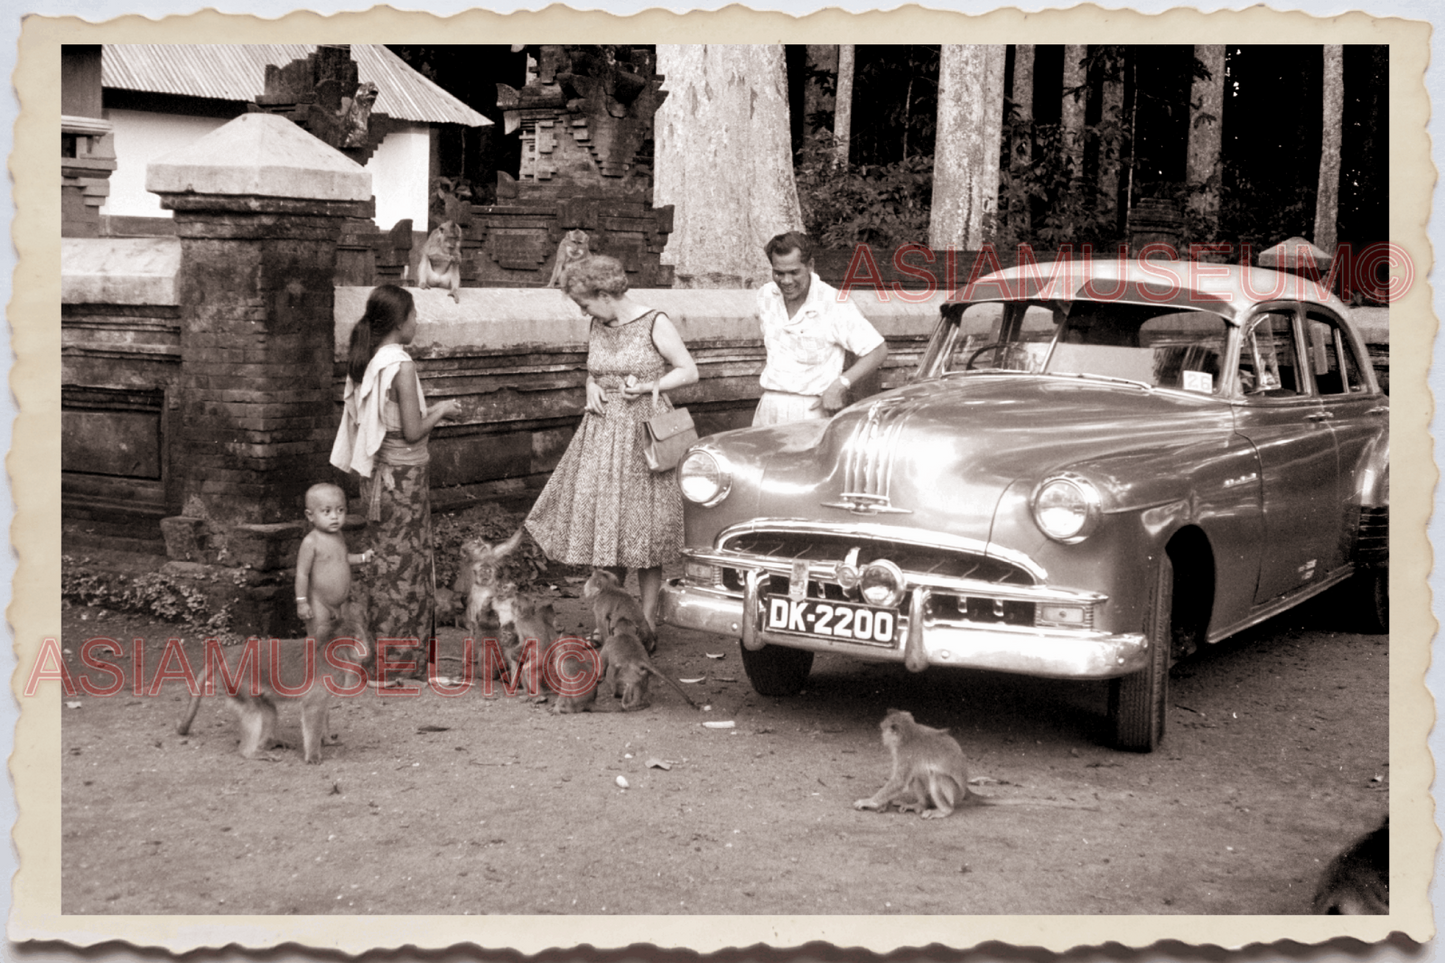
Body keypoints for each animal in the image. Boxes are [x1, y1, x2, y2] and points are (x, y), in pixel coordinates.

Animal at [175, 601, 372, 763]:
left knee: (269, 711)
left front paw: (328, 740)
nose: (366, 650)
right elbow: (313, 709)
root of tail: (228, 654)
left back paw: (267, 743)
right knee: (252, 712)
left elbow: (322, 709)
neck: (330, 646)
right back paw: (250, 752)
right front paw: (313, 755)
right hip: (236, 682)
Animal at [849, 705, 1098, 815]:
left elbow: (899, 781)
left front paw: (870, 802)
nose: (882, 737)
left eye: (883, 730)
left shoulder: (905, 753)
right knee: (921, 776)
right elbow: (907, 779)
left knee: (935, 776)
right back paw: (921, 804)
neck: (909, 732)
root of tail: (966, 792)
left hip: (953, 793)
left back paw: (943, 811)